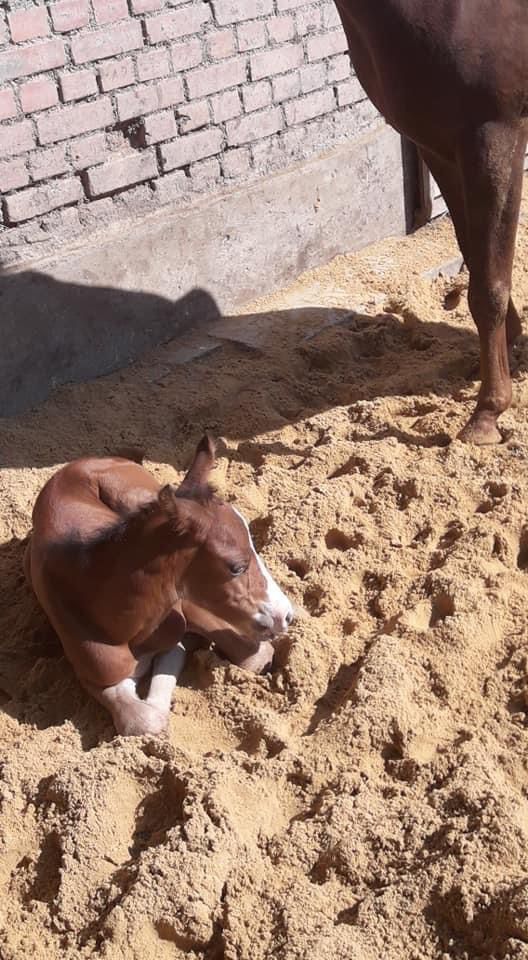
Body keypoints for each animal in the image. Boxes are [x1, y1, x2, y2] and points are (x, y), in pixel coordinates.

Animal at [24, 438, 292, 740]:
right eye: (236, 567)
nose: (285, 614)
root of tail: (79, 462)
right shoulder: (94, 672)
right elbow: (145, 719)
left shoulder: (183, 603)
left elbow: (253, 656)